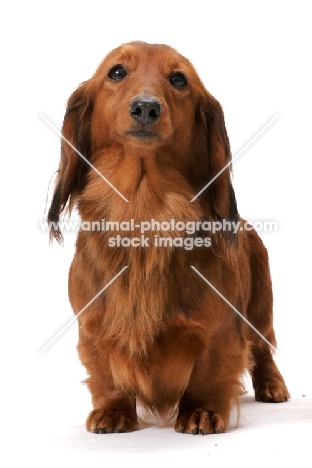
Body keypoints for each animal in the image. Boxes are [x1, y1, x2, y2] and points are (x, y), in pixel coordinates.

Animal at [47, 41, 288, 436]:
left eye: (178, 79)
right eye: (116, 72)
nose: (146, 107)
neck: (146, 213)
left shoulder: (220, 330)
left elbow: (208, 373)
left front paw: (201, 411)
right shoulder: (92, 329)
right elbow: (106, 374)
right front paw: (112, 410)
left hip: (259, 309)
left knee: (263, 349)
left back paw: (272, 385)